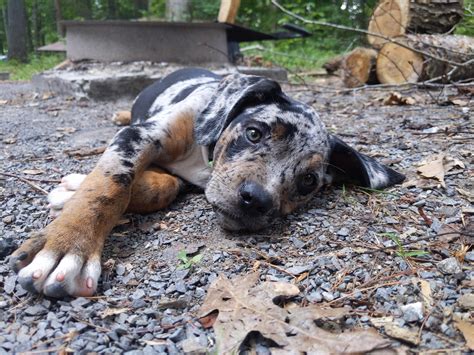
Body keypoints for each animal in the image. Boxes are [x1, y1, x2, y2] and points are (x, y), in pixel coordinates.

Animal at [8, 67, 404, 298]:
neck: (203, 156)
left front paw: (68, 194)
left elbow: (159, 187)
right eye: (254, 132)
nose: (256, 200)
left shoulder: (184, 178)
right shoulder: (139, 135)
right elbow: (109, 185)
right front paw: (67, 245)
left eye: (308, 181)